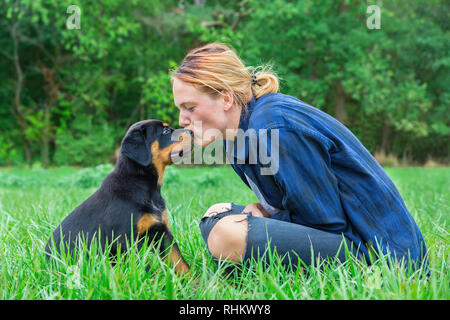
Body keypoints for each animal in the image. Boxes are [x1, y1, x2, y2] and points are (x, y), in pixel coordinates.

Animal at [44, 120, 192, 276]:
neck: (145, 185)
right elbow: (144, 267)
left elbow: (180, 261)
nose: (192, 132)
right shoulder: (125, 239)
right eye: (166, 131)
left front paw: (195, 281)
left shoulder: (161, 231)